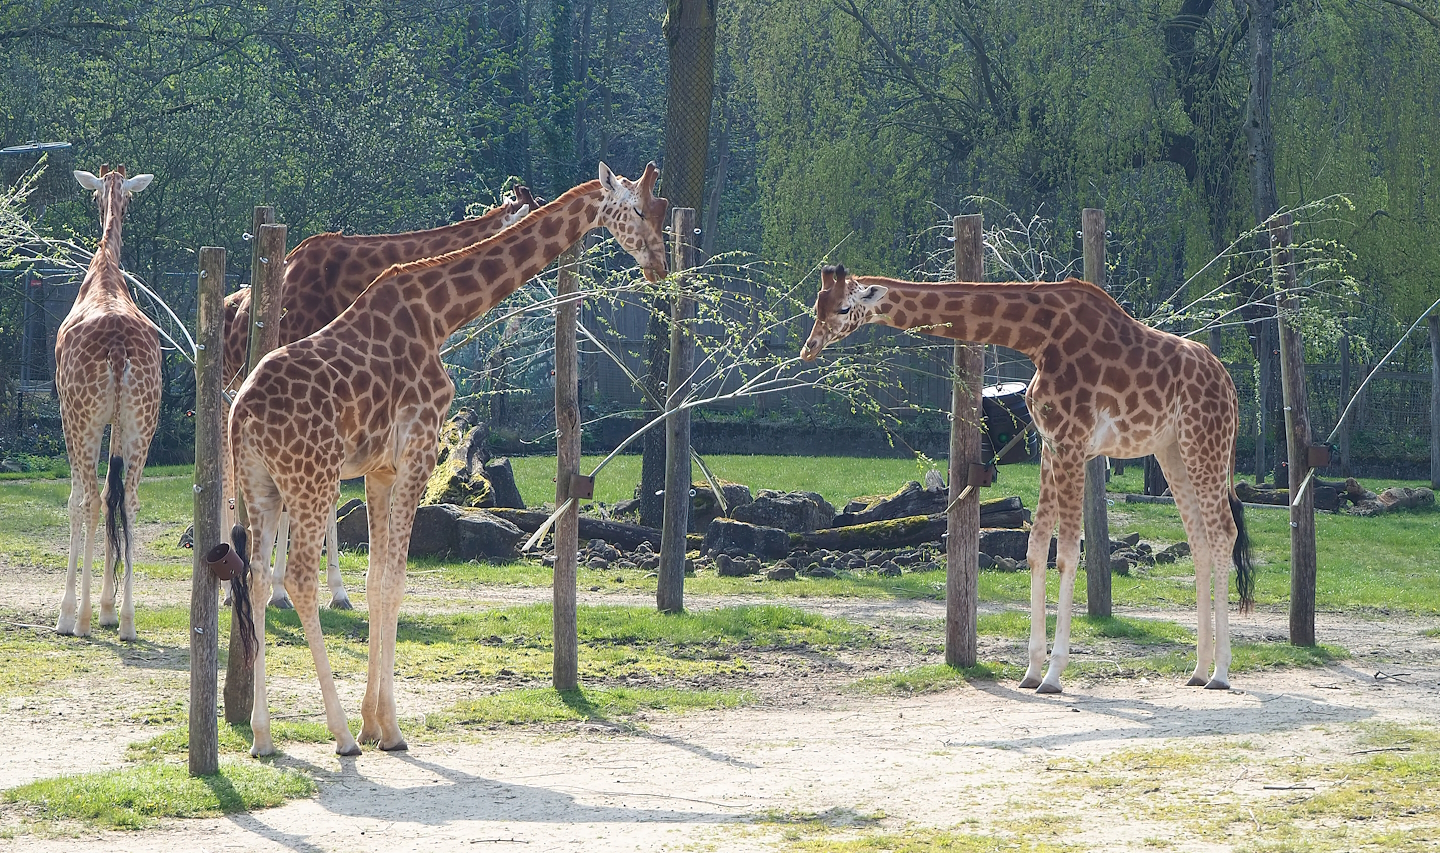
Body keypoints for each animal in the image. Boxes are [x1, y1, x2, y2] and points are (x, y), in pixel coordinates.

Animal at [220, 187, 541, 610]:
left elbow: (332, 497)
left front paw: (337, 592)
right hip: (231, 390)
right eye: (533, 209)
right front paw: (281, 592)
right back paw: (229, 589)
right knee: (225, 475)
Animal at [801, 265, 1255, 693]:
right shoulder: (1051, 446)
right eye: (816, 304)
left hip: (1205, 442)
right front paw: (1032, 671)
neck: (1039, 337)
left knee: (1223, 533)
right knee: (1199, 541)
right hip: (1171, 450)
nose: (809, 348)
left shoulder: (1073, 443)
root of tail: (1229, 386)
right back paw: (1198, 670)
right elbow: (1036, 549)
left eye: (844, 307)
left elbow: (1068, 553)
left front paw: (1054, 675)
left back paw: (1221, 672)